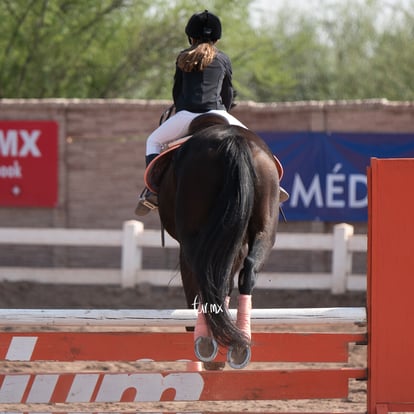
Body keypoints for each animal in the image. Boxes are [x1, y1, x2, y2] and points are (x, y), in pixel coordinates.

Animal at [149, 114, 282, 368]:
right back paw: (239, 342)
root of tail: (233, 140)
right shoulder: (234, 245)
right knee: (247, 271)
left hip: (194, 240)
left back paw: (205, 340)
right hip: (264, 229)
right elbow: (226, 282)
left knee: (204, 277)